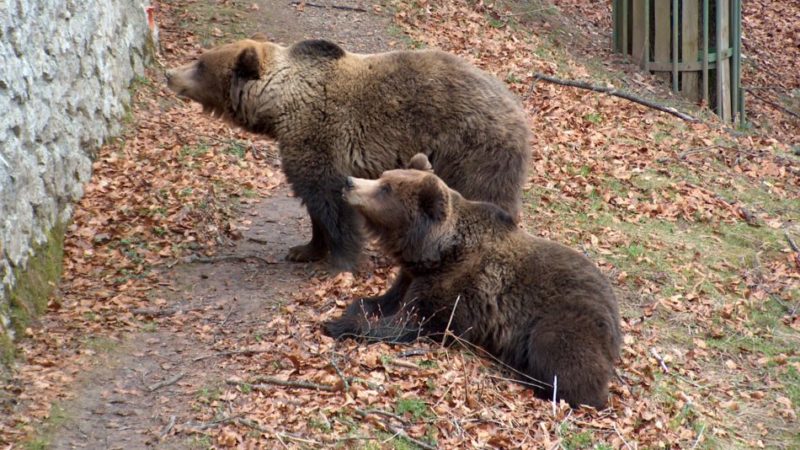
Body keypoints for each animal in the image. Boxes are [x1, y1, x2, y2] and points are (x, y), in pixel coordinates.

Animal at [165, 35, 530, 272]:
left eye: (200, 63)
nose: (169, 74)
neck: (280, 105)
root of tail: (519, 111)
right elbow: (314, 204)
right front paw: (304, 249)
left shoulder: (318, 136)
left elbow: (329, 199)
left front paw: (341, 261)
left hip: (472, 151)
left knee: (485, 196)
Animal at [324, 154, 621, 409]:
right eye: (383, 176)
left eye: (385, 188)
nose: (349, 182)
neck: (437, 253)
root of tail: (616, 320)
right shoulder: (412, 275)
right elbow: (385, 300)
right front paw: (354, 309)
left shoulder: (457, 290)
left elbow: (414, 323)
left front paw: (338, 324)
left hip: (564, 319)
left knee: (562, 359)